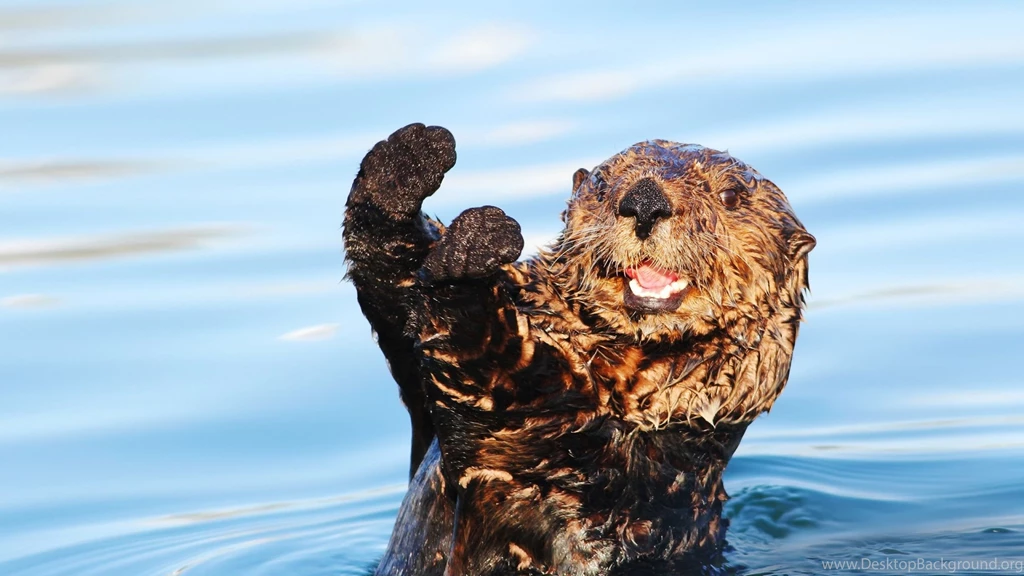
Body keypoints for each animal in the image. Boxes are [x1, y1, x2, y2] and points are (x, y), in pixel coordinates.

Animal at [343, 123, 814, 576]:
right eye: (603, 185)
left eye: (730, 195)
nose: (644, 201)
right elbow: (395, 294)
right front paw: (407, 162)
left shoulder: (564, 450)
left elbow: (496, 371)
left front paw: (471, 251)